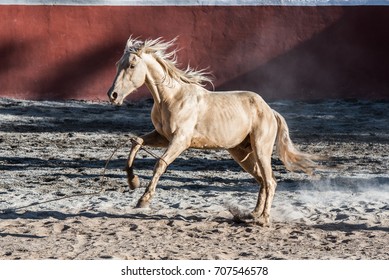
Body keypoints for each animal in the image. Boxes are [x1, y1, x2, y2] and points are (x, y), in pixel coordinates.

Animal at [107, 36, 318, 225]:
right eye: (118, 64)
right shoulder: (162, 136)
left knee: (270, 181)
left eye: (132, 65)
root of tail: (270, 111)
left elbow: (160, 163)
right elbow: (136, 142)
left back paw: (263, 219)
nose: (113, 95)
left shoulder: (180, 140)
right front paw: (132, 180)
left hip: (261, 150)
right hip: (242, 154)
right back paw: (252, 214)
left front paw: (143, 200)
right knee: (263, 180)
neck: (172, 97)